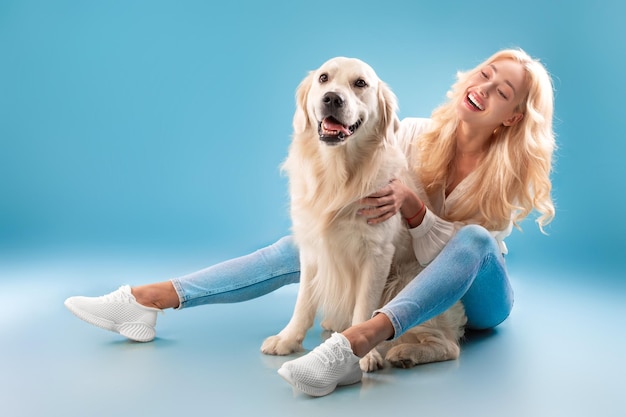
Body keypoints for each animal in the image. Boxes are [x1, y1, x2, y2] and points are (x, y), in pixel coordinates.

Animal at [258, 56, 464, 370]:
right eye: (323, 78)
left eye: (360, 83)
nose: (332, 98)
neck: (337, 175)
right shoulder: (312, 248)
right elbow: (304, 301)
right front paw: (288, 339)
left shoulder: (377, 253)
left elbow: (365, 307)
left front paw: (363, 355)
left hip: (404, 281)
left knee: (449, 346)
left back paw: (405, 354)